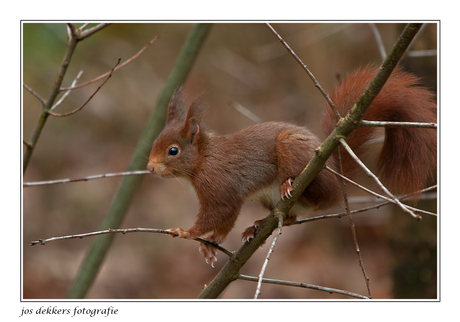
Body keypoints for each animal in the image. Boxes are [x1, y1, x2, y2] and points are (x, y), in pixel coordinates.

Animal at [147, 64, 438, 266]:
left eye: (173, 151)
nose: (149, 168)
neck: (203, 160)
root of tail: (335, 176)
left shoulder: (220, 186)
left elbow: (220, 213)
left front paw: (187, 232)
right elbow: (226, 222)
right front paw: (211, 243)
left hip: (291, 150)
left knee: (311, 196)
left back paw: (288, 183)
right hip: (270, 199)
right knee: (291, 217)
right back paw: (256, 225)